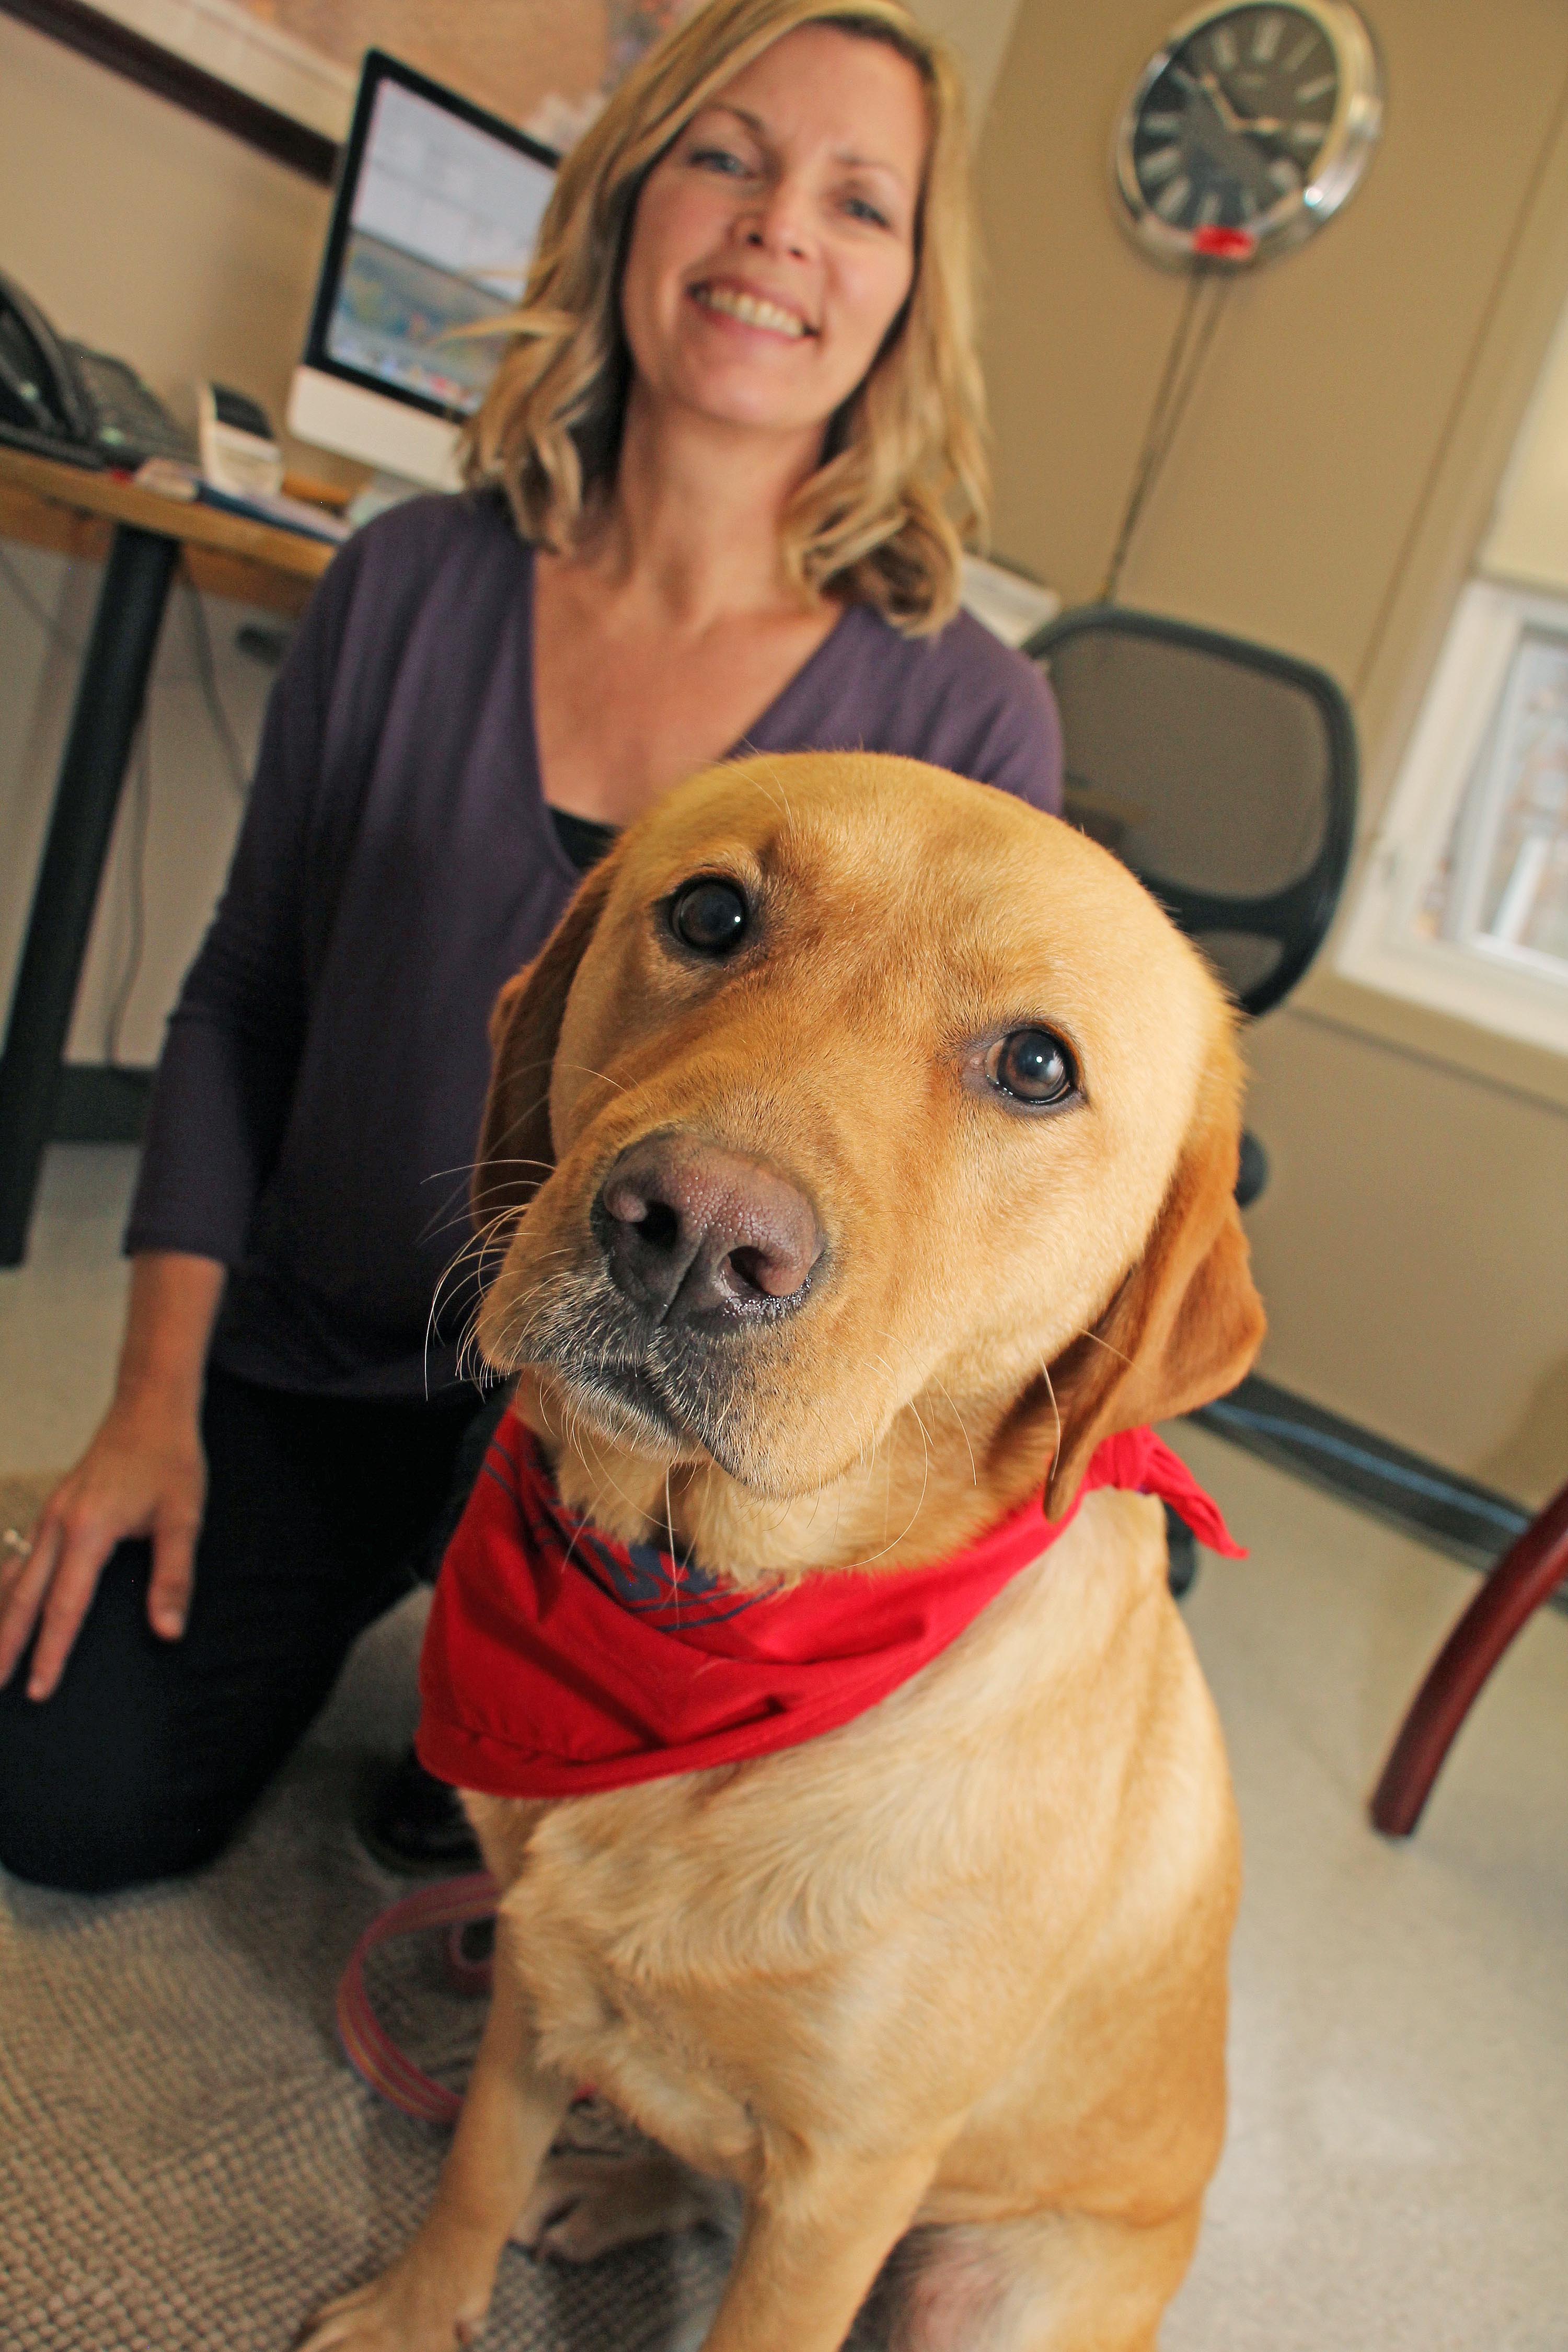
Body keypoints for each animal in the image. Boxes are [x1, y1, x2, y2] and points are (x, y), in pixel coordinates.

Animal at [303, 753, 1260, 2352]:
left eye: (1037, 1066)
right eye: (709, 913)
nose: (693, 1234)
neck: (704, 1606)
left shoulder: (847, 2183)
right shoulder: (531, 1977)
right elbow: (475, 2170)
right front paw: (417, 2309)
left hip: (990, 2281)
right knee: (688, 2168)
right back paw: (611, 2181)